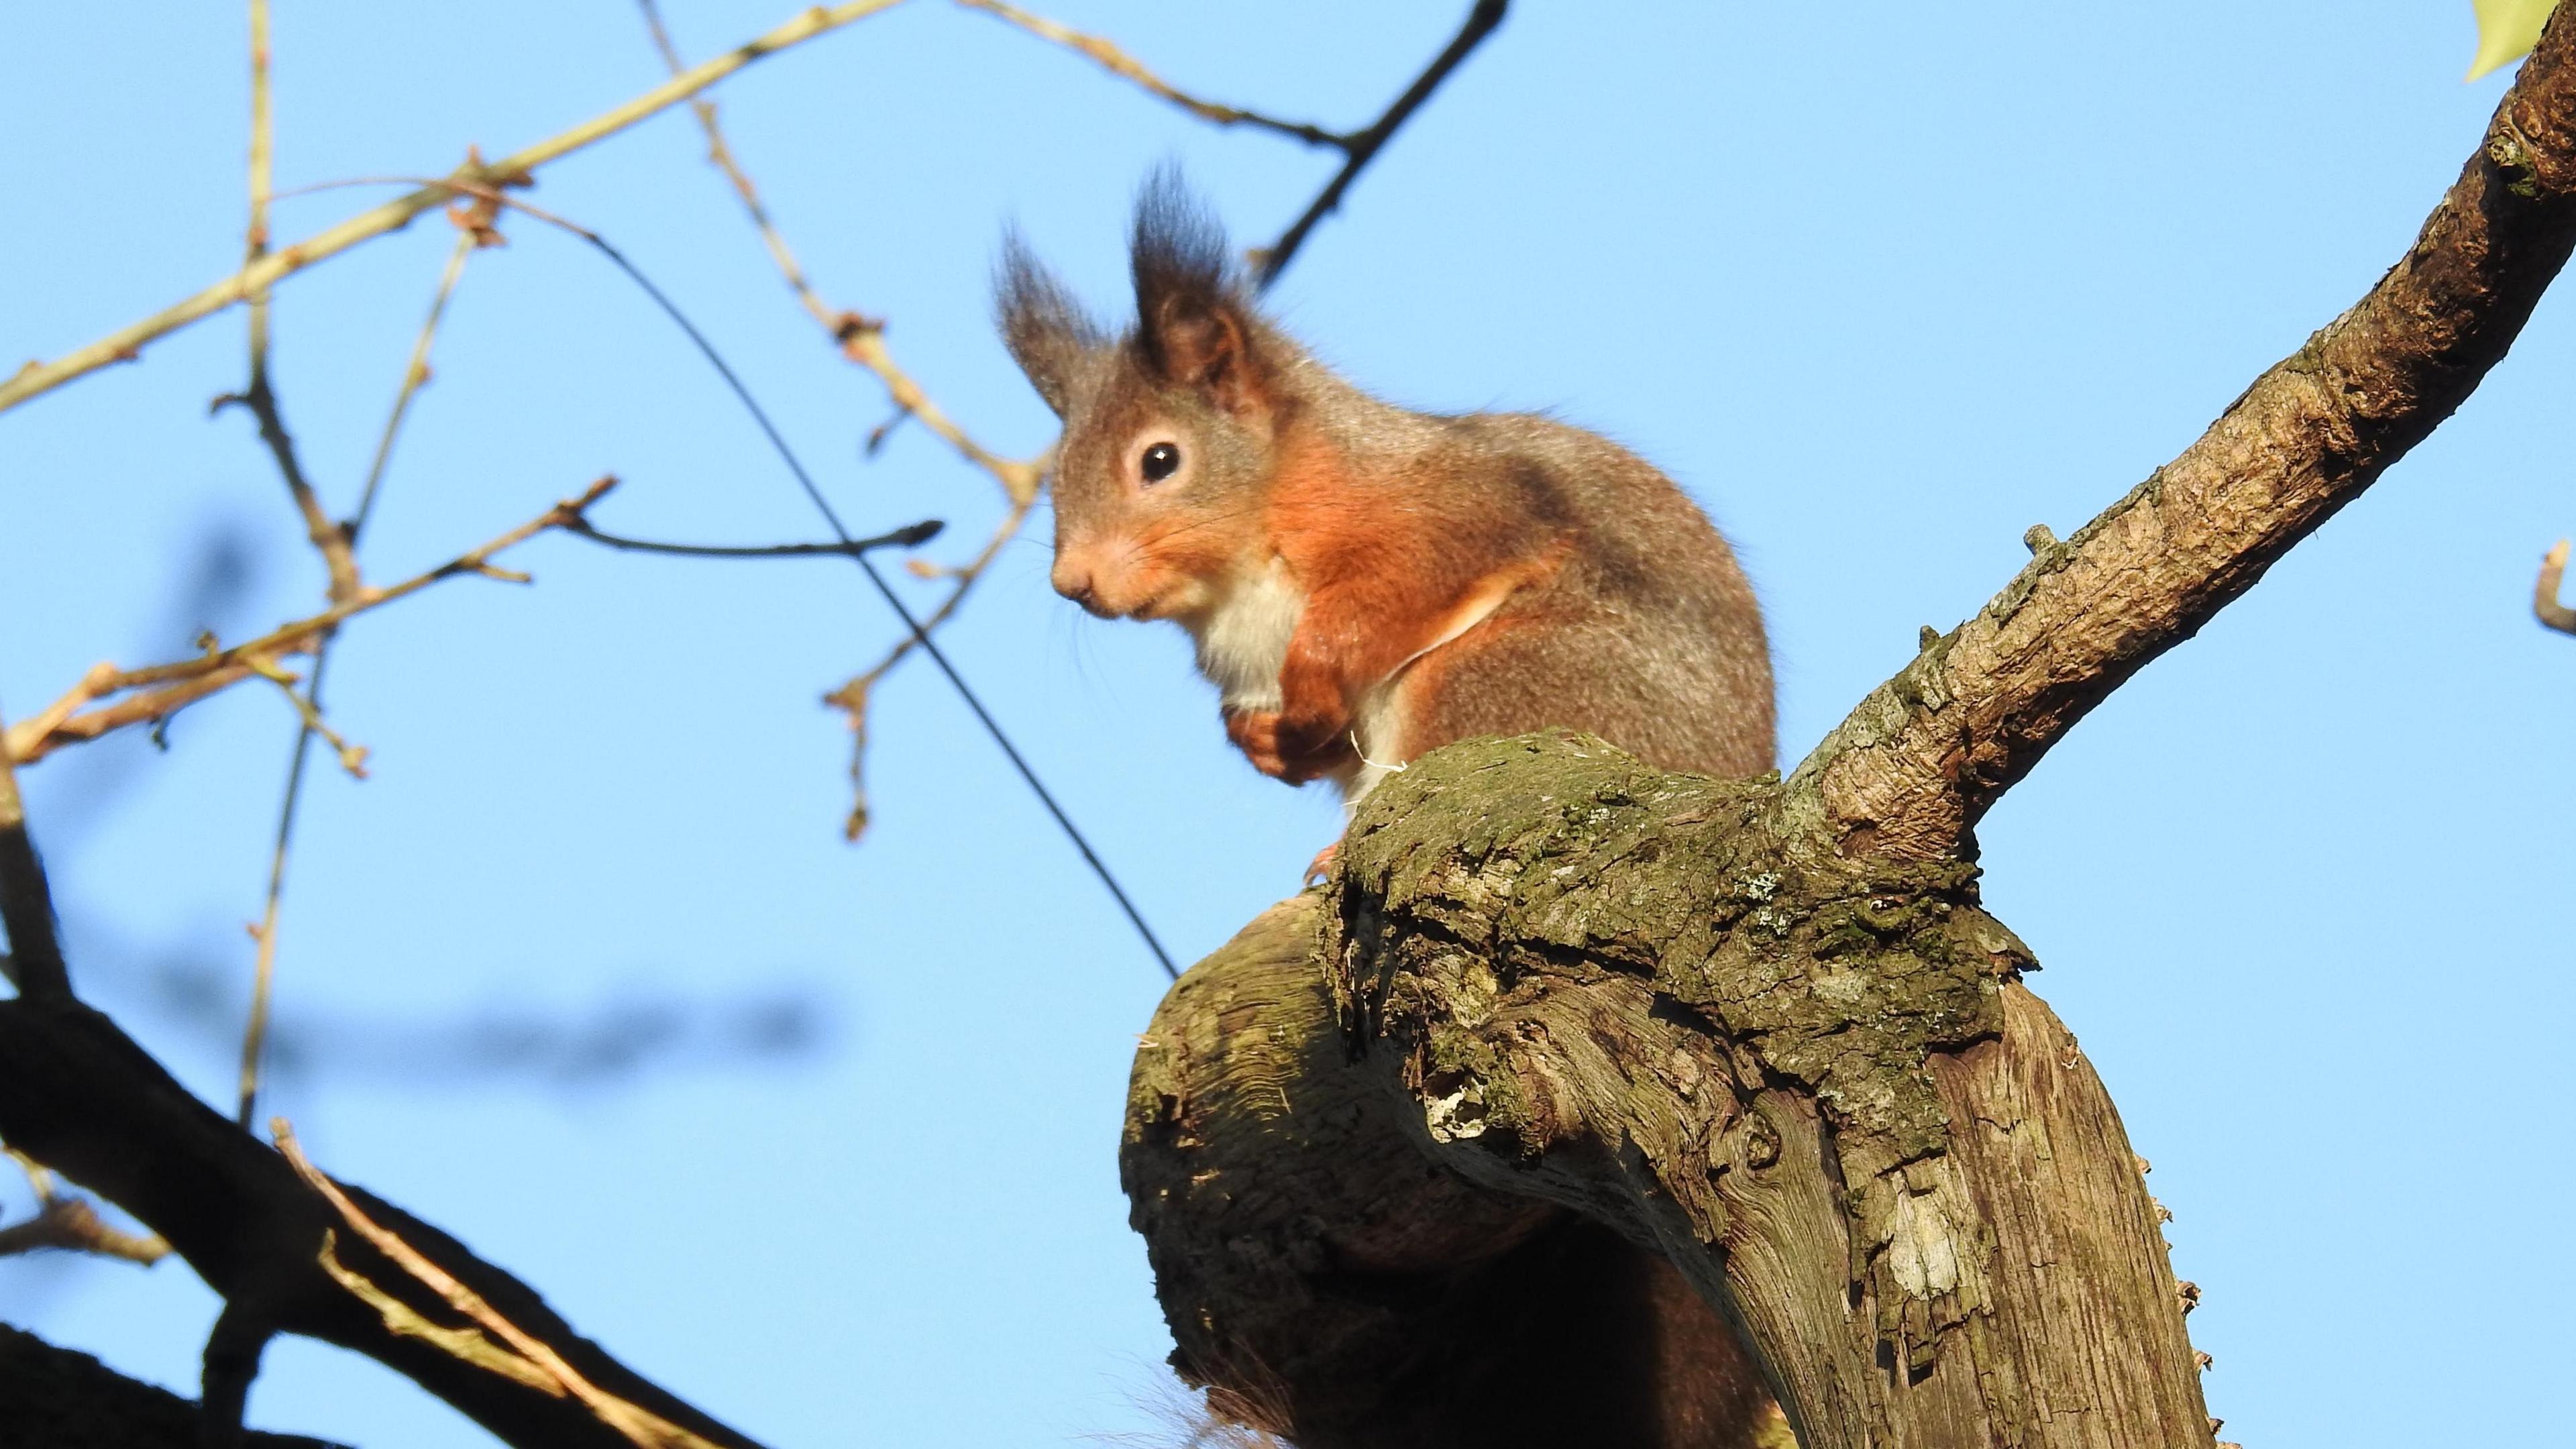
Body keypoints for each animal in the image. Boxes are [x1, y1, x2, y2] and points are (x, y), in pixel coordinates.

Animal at [999, 176, 1772, 804]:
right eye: (1058, 472)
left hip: (1507, 680)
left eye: (1160, 460)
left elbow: (1404, 580)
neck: (1235, 580)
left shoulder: (1452, 504)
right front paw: (1262, 740)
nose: (1073, 581)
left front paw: (1312, 679)